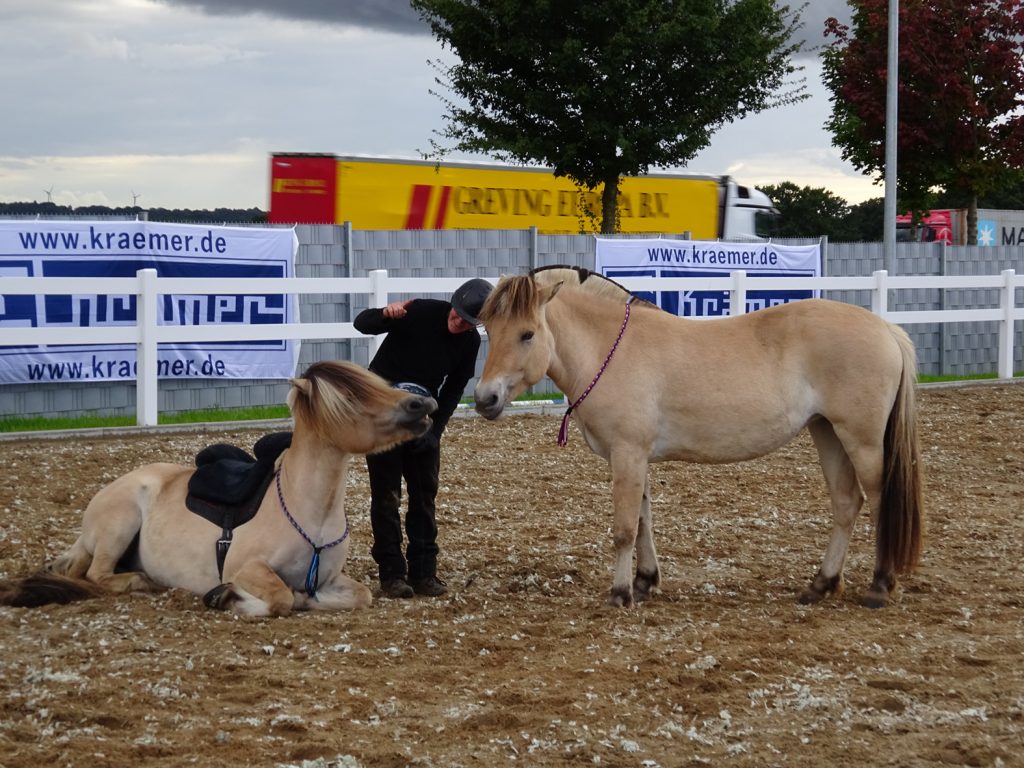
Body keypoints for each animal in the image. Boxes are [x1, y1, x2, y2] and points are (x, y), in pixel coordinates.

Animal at [0, 360, 434, 618]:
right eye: (352, 397)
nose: (423, 404)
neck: (308, 511)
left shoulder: (328, 581)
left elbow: (357, 595)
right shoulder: (247, 566)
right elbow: (281, 597)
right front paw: (228, 596)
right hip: (119, 523)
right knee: (97, 575)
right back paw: (143, 583)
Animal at [475, 268, 925, 610]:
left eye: (528, 334)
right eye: (490, 330)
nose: (484, 399)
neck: (609, 350)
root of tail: (886, 329)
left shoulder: (627, 453)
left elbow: (624, 528)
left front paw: (620, 593)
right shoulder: (636, 457)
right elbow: (644, 519)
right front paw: (645, 581)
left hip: (862, 440)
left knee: (880, 503)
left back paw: (879, 587)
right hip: (827, 431)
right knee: (846, 503)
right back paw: (821, 585)